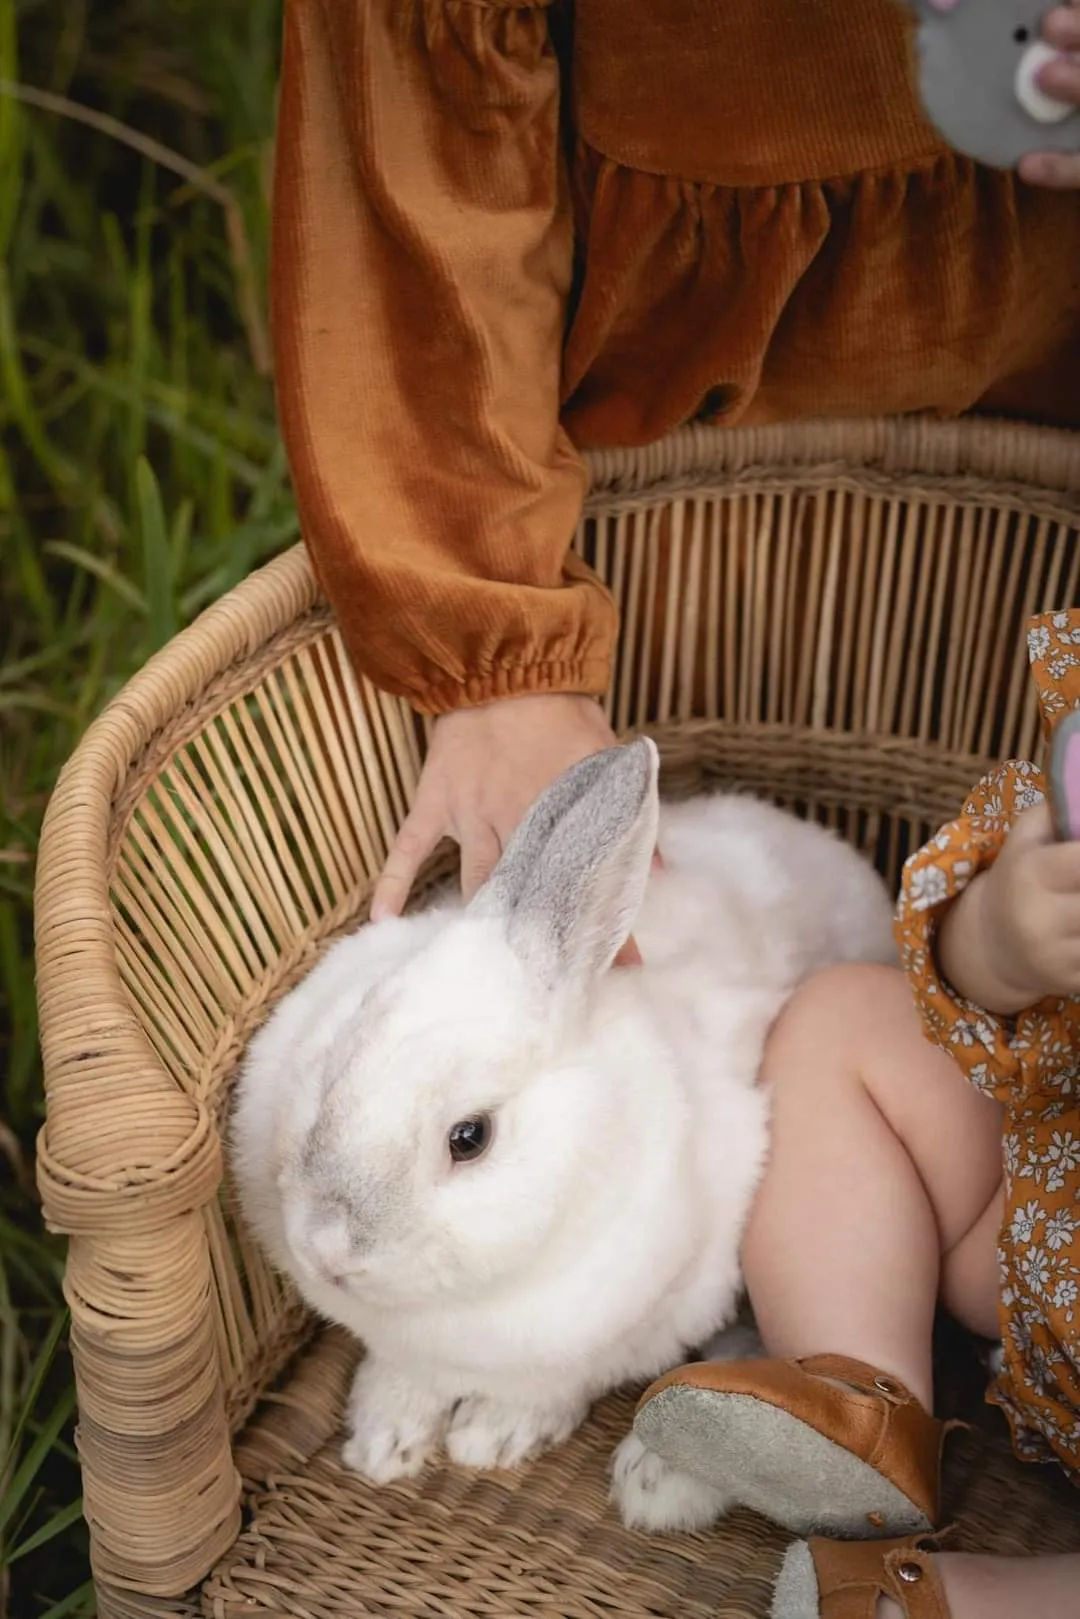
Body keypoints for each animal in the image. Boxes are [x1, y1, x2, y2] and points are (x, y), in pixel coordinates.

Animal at [234, 741, 893, 1534]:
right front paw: (383, 1440)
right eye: (335, 1059)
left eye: (470, 1137)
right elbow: (405, 1373)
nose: (327, 1251)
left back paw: (666, 1477)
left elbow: (552, 1384)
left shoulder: (630, 1325)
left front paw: (492, 1437)